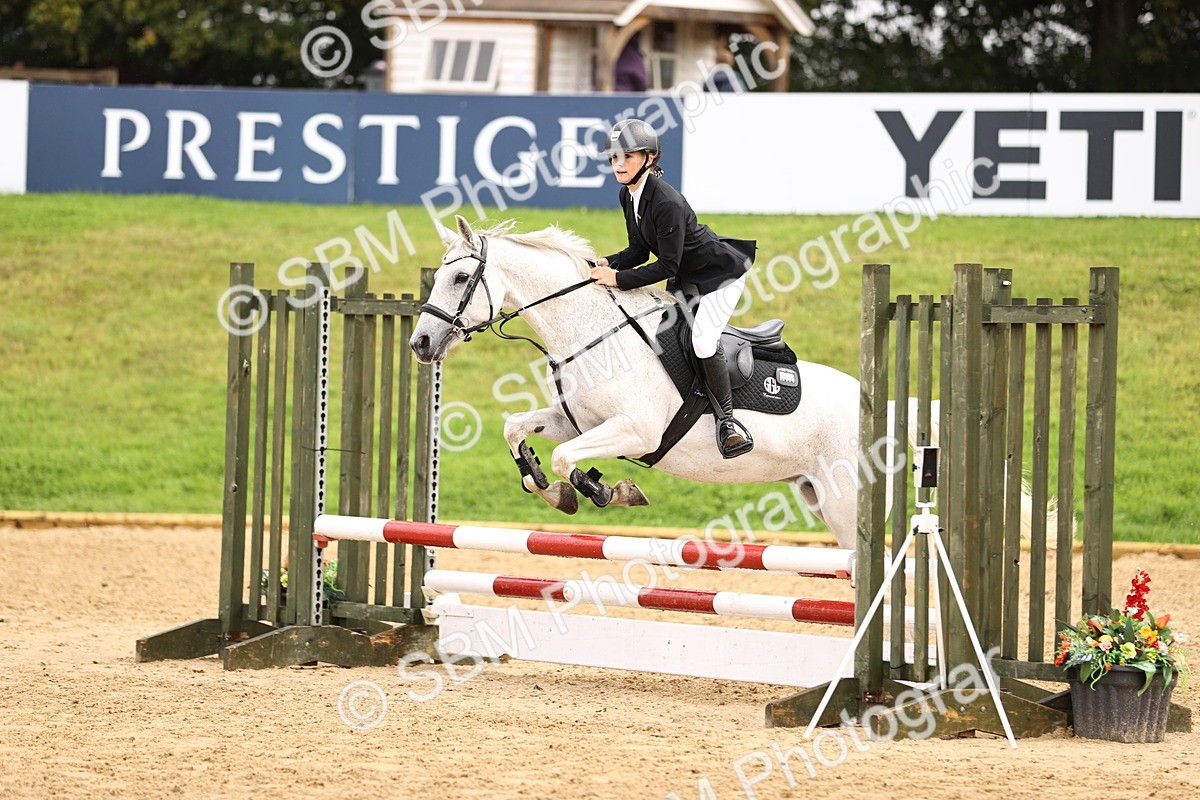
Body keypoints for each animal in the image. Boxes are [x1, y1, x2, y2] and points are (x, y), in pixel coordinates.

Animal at [409, 216, 1035, 550]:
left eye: (461, 279)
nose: (420, 344)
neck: (590, 331)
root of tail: (885, 408)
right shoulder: (578, 420)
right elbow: (519, 429)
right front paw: (550, 487)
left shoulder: (634, 429)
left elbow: (568, 459)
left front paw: (602, 490)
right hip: (818, 497)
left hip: (845, 504)